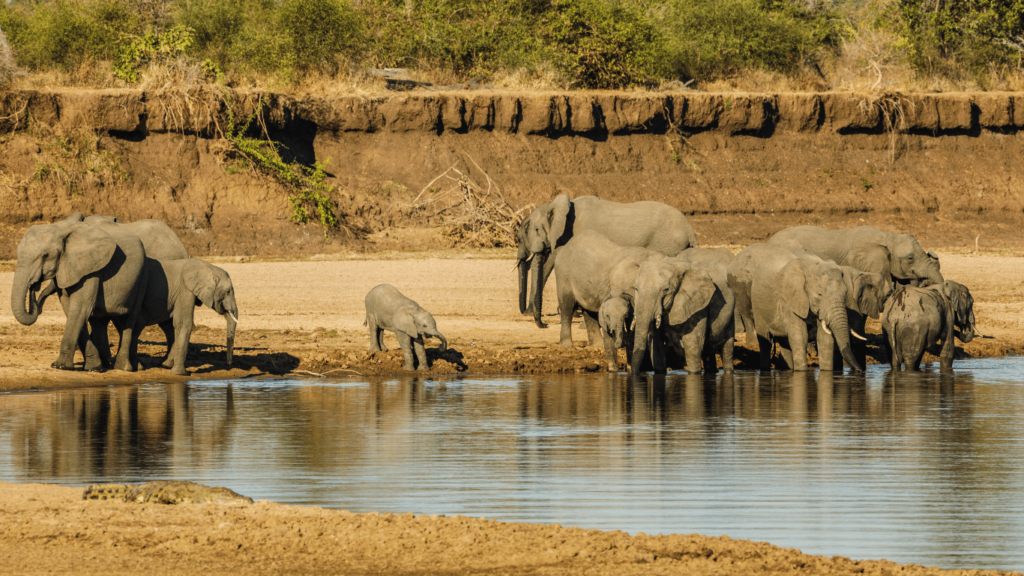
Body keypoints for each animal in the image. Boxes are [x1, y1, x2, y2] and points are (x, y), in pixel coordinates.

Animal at [9, 213, 145, 368]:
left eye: (45, 255)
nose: (33, 285)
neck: (59, 228)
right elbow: (70, 308)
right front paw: (93, 367)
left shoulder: (91, 268)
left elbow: (81, 308)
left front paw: (60, 366)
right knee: (101, 321)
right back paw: (105, 365)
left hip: (142, 275)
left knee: (130, 319)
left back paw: (125, 367)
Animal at [516, 193, 700, 325]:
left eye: (529, 229)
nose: (544, 324)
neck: (556, 206)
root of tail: (690, 229)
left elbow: (550, 263)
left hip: (668, 245)